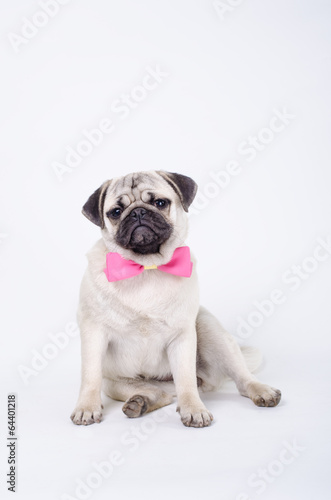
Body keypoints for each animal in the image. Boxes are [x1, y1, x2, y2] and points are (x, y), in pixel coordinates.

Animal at [70, 170, 282, 428]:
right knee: (160, 394)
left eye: (160, 203)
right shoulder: (94, 333)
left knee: (239, 379)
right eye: (116, 212)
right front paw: (87, 407)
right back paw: (139, 403)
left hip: (210, 330)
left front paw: (193, 408)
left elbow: (186, 380)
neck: (147, 267)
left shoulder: (182, 337)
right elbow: (90, 376)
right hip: (115, 383)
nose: (138, 212)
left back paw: (261, 390)